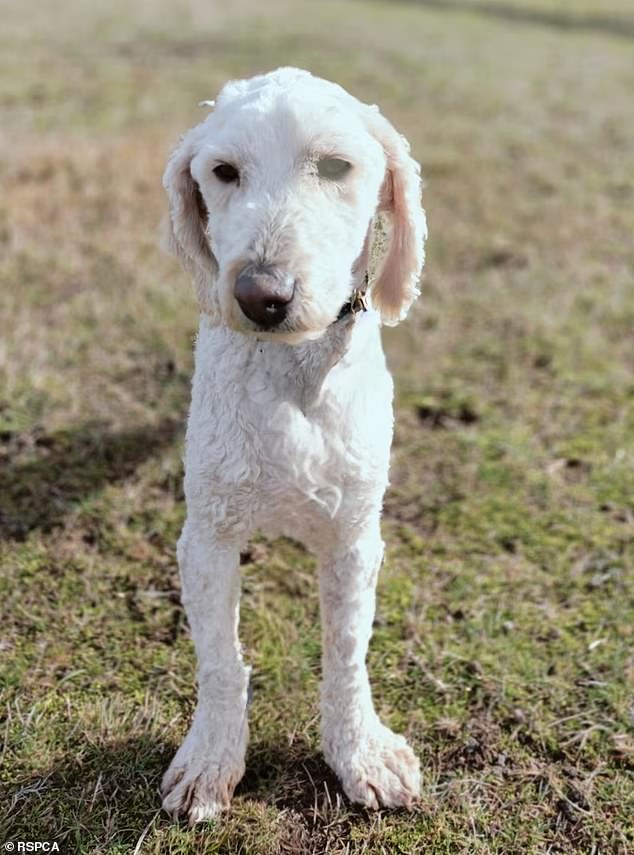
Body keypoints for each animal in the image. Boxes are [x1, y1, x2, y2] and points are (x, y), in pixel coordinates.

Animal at [159, 65, 424, 824]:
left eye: (335, 166)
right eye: (223, 172)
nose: (261, 296)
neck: (290, 370)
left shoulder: (355, 538)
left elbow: (347, 653)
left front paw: (359, 754)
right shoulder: (208, 537)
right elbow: (220, 660)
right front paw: (210, 763)